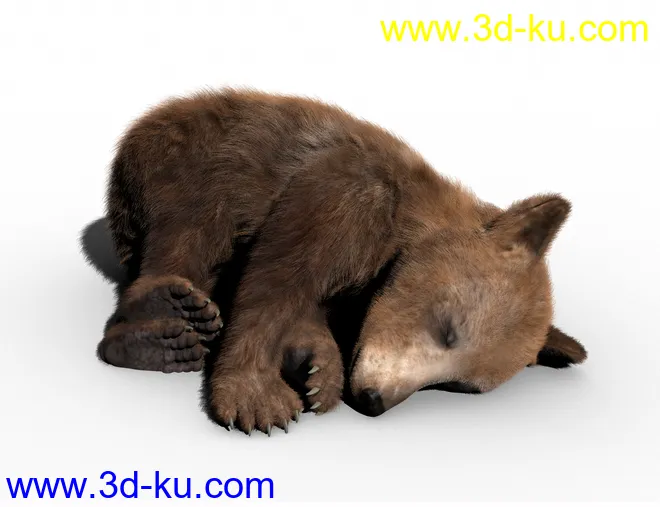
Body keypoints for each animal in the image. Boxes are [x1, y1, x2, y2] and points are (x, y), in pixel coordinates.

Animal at [96, 88, 587, 436]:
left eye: (457, 385)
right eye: (447, 330)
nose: (374, 399)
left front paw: (314, 365)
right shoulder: (346, 192)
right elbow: (277, 276)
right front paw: (257, 395)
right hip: (181, 158)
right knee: (190, 230)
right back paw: (161, 323)